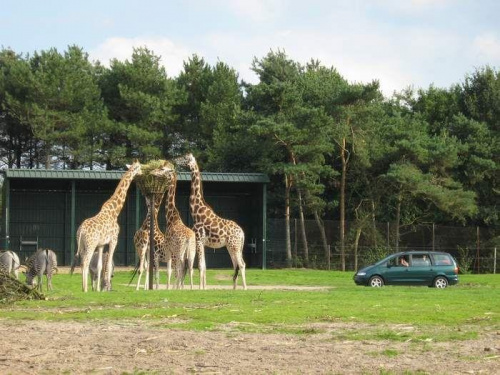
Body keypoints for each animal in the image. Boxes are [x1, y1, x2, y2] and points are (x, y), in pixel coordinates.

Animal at [70, 160, 143, 292]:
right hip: (90, 244)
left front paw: (99, 289)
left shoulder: (101, 244)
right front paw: (107, 287)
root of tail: (81, 230)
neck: (114, 212)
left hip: (82, 245)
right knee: (85, 262)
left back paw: (84, 287)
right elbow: (109, 264)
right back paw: (85, 289)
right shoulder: (114, 240)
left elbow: (100, 265)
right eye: (139, 167)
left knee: (83, 262)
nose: (142, 173)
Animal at [174, 153, 248, 290]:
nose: (175, 159)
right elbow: (204, 266)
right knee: (236, 264)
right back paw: (234, 288)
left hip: (234, 246)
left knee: (241, 264)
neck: (197, 212)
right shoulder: (203, 243)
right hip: (232, 246)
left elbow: (200, 266)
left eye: (185, 158)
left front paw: (199, 288)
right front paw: (204, 288)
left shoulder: (198, 240)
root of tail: (242, 233)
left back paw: (244, 288)